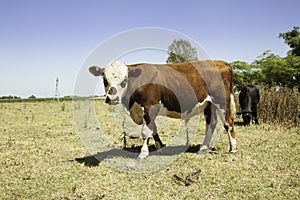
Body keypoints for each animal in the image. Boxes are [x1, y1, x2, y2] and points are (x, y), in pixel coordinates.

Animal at [89, 60, 237, 159]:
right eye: (105, 79)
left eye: (124, 80)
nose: (111, 98)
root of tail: (222, 62)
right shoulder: (146, 111)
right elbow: (153, 130)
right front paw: (160, 147)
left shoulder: (150, 107)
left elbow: (145, 132)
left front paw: (143, 153)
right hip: (209, 104)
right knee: (211, 123)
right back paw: (203, 148)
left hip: (222, 102)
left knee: (228, 123)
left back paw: (233, 148)